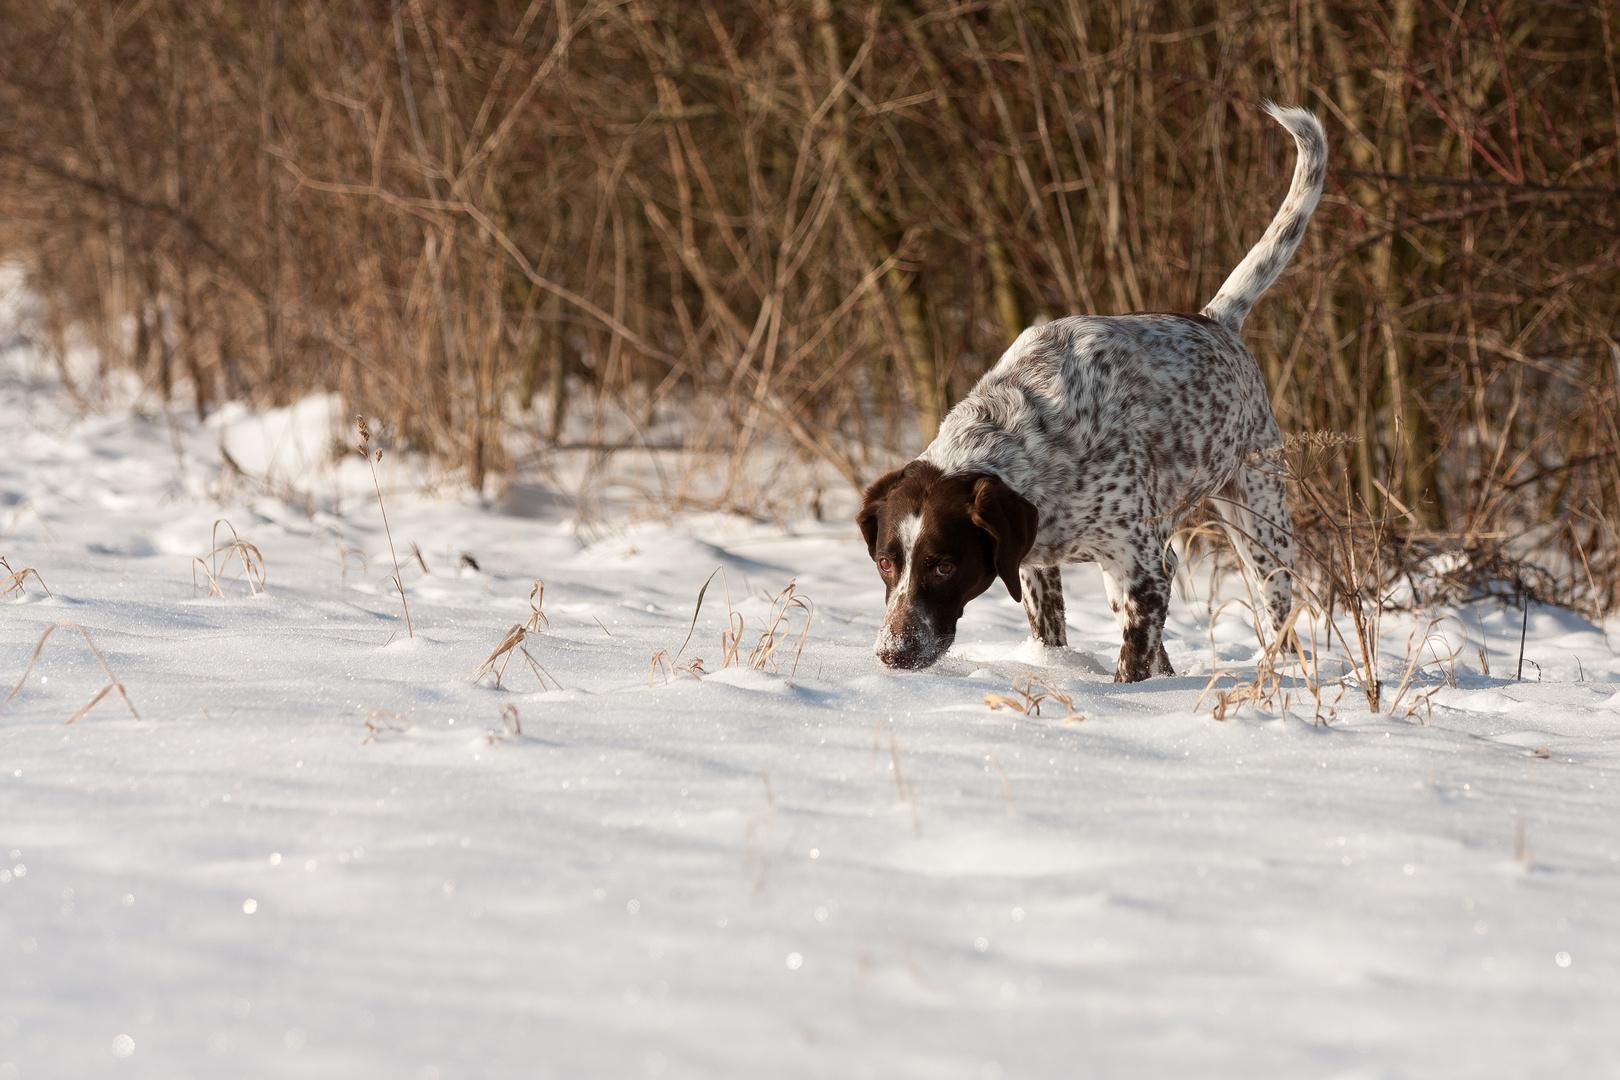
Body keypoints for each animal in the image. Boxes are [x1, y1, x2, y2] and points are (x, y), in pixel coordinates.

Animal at [855, 107, 1321, 683]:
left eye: (943, 565)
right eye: (884, 563)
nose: (893, 654)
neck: (1035, 437)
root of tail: (1216, 319)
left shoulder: (1146, 572)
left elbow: (1133, 663)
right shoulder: (1036, 565)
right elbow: (1052, 633)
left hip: (1259, 522)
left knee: (1278, 609)